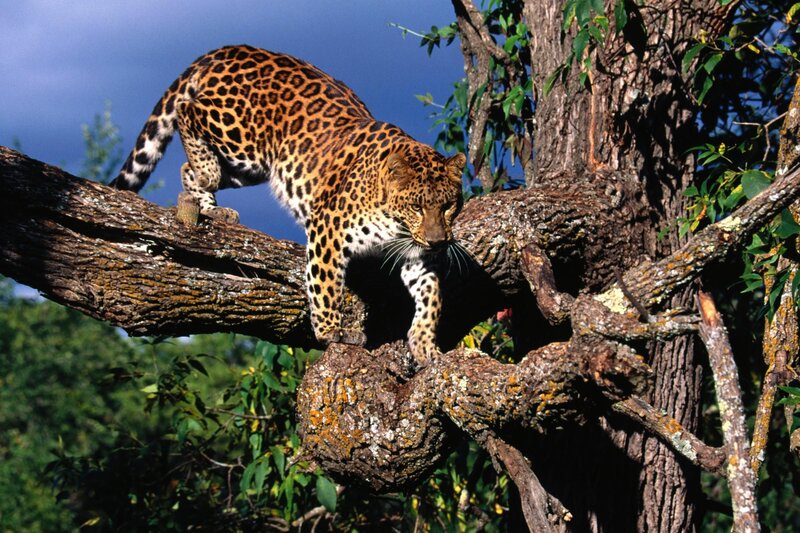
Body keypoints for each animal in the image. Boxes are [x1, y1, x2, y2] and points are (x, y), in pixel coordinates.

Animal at [112, 44, 466, 365]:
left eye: (449, 206)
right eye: (417, 207)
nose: (439, 242)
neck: (395, 222)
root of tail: (228, 48)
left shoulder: (419, 256)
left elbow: (431, 299)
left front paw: (425, 346)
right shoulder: (328, 228)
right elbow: (325, 284)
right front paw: (332, 332)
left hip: (250, 167)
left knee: (189, 170)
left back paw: (211, 206)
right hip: (239, 134)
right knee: (188, 111)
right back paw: (207, 171)